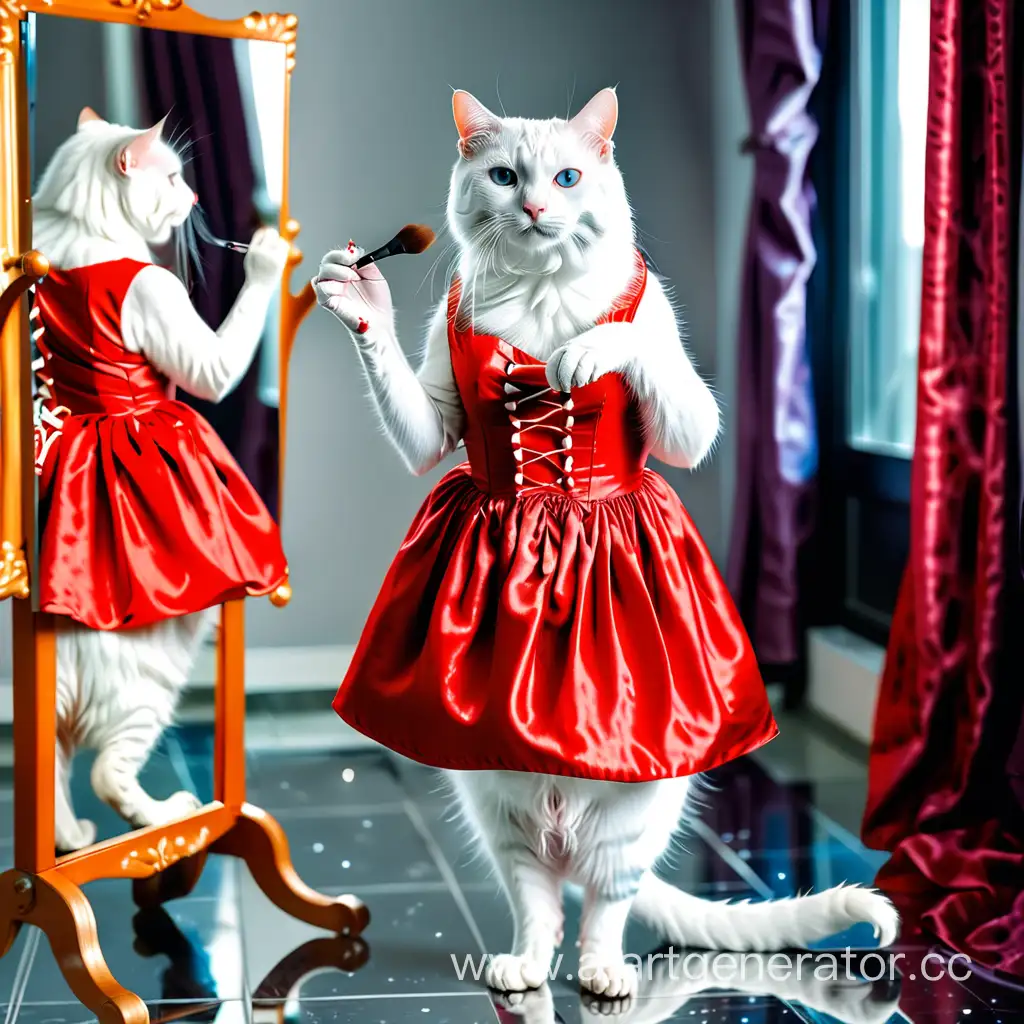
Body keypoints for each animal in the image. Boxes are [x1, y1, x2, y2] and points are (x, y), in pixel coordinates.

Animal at [33, 108, 288, 851]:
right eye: (173, 178)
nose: (199, 197)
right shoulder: (169, 309)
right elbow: (215, 362)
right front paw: (268, 254)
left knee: (54, 769)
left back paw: (74, 840)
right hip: (152, 689)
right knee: (107, 772)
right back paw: (166, 817)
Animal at [311, 88, 897, 991]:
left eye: (566, 177)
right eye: (505, 176)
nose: (534, 207)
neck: (541, 284)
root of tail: (566, 818)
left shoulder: (688, 408)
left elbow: (633, 345)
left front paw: (583, 352)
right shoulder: (438, 408)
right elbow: (418, 412)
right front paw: (357, 295)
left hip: (636, 813)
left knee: (604, 907)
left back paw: (606, 976)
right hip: (496, 805)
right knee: (540, 901)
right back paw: (524, 966)